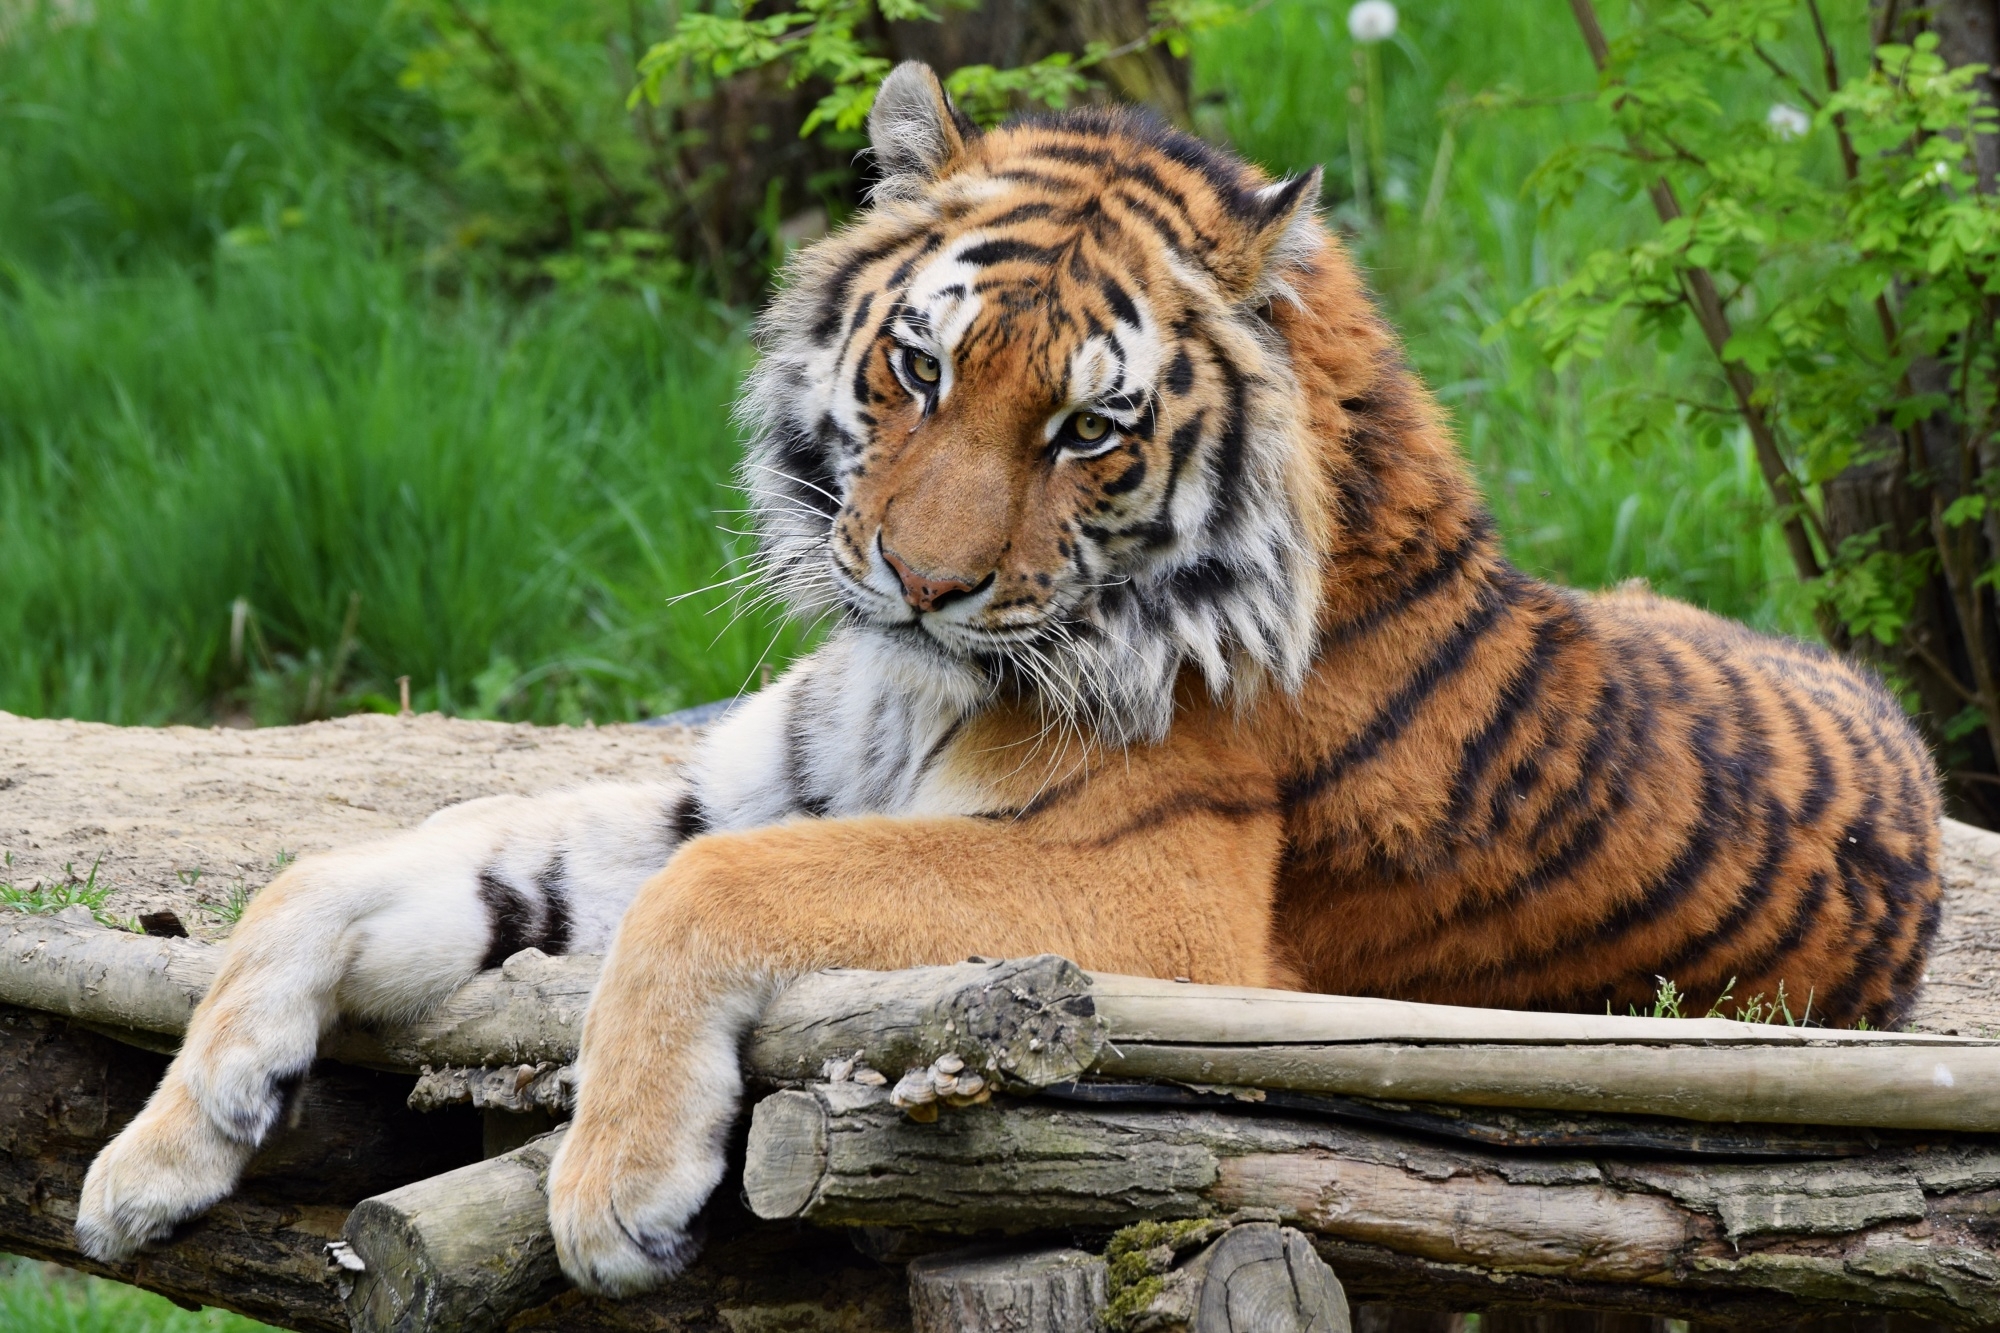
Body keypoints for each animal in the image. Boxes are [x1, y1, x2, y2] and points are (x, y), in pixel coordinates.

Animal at [78, 62, 1936, 1296]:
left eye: (1089, 429)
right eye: (919, 367)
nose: (919, 578)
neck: (917, 677)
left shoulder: (1151, 902)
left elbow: (715, 891)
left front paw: (612, 1189)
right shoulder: (742, 778)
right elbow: (346, 863)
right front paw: (155, 1151)